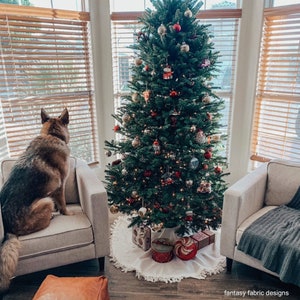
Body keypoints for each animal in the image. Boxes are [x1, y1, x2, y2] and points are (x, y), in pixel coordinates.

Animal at [0, 108, 71, 292]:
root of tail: (8, 229)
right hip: (45, 201)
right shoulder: (60, 187)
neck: (52, 134)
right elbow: (64, 205)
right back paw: (51, 216)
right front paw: (67, 214)